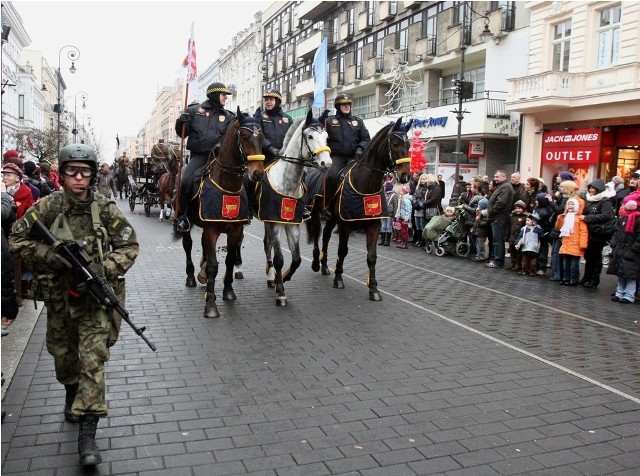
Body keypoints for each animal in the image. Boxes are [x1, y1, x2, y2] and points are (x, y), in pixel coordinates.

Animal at [175, 107, 264, 316]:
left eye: (262, 137)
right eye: (245, 136)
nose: (258, 173)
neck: (227, 185)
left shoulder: (235, 231)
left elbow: (229, 260)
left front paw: (228, 291)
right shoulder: (212, 230)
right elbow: (213, 266)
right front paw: (211, 304)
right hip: (187, 223)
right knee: (188, 246)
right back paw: (191, 276)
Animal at [306, 116, 416, 300]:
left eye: (408, 145)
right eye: (394, 144)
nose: (405, 176)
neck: (365, 184)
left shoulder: (373, 225)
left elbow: (372, 256)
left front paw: (373, 288)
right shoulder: (345, 224)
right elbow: (342, 251)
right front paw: (338, 278)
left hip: (331, 219)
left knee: (326, 236)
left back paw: (325, 266)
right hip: (315, 213)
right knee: (317, 235)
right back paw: (316, 263)